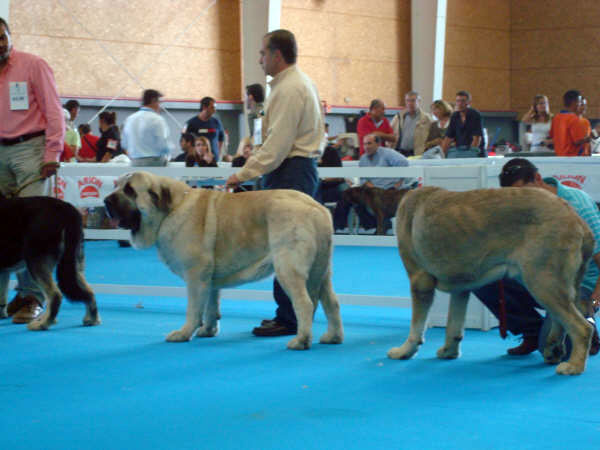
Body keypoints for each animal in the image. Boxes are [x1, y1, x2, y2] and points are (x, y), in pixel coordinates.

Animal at [0, 195, 99, 328]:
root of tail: (66, 208)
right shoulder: (3, 272)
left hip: (35, 259)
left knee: (55, 295)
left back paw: (43, 323)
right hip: (73, 263)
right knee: (89, 291)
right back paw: (91, 319)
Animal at [104, 171, 342, 350]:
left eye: (130, 190)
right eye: (117, 186)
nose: (106, 200)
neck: (170, 209)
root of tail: (316, 208)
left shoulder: (195, 276)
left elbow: (194, 308)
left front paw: (184, 332)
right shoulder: (208, 279)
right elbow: (211, 306)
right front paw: (208, 330)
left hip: (288, 269)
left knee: (304, 303)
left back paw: (300, 341)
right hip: (322, 271)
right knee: (331, 302)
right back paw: (333, 337)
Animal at [390, 185, 596, 374]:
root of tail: (579, 221)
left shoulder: (419, 281)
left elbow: (416, 326)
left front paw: (405, 351)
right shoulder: (460, 289)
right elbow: (454, 324)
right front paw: (450, 351)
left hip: (542, 283)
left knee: (582, 328)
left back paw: (574, 366)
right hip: (549, 284)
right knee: (560, 321)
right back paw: (553, 351)